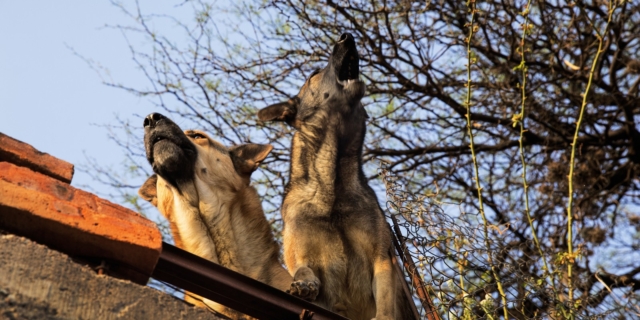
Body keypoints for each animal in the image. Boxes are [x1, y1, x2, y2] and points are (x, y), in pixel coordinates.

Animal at [258, 33, 418, 320]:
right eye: (313, 74)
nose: (347, 36)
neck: (331, 185)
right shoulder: (298, 253)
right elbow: (302, 268)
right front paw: (305, 283)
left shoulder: (382, 258)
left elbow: (386, 302)